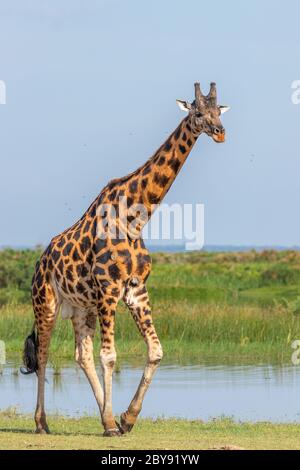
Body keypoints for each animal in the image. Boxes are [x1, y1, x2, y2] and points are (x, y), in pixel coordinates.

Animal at [21, 81, 230, 436]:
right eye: (198, 113)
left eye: (219, 110)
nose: (220, 132)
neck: (136, 216)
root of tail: (40, 262)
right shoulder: (109, 290)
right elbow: (110, 356)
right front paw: (113, 421)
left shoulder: (136, 290)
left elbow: (156, 351)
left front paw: (125, 419)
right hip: (45, 301)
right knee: (46, 355)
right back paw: (42, 422)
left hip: (82, 308)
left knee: (81, 354)